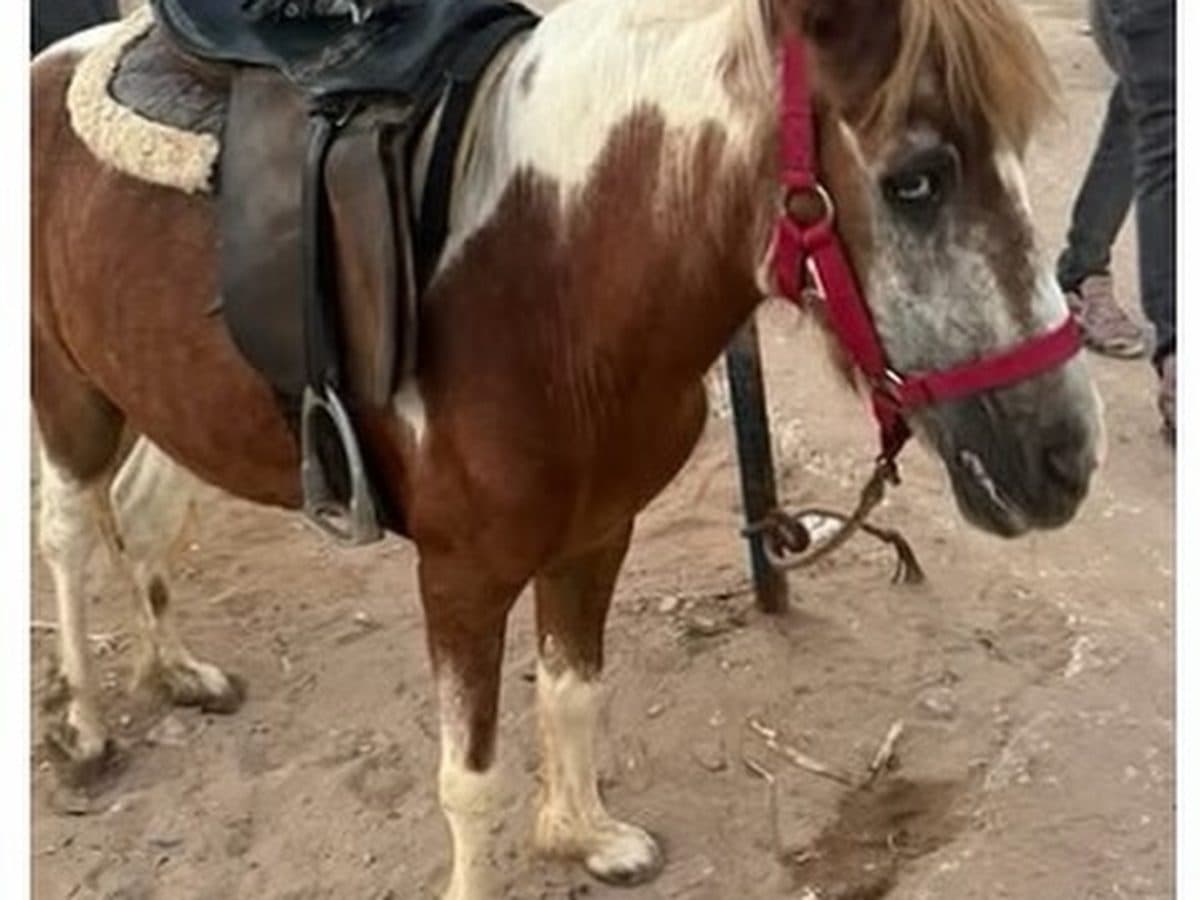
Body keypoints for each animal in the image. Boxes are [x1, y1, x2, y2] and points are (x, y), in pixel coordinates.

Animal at [31, 0, 1103, 895]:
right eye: (916, 181)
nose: (1064, 458)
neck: (552, 274)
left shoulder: (596, 535)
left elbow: (574, 693)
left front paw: (583, 837)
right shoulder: (460, 578)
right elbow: (469, 781)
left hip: (165, 400)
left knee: (142, 518)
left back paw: (177, 673)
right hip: (69, 395)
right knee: (70, 536)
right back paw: (84, 727)